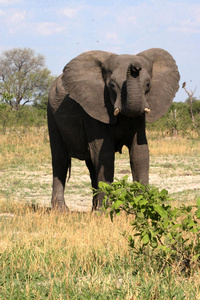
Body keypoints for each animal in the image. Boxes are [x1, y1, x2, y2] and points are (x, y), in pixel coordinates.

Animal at [47, 48, 180, 211]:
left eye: (148, 84)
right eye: (111, 85)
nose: (135, 67)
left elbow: (140, 152)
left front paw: (143, 208)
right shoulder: (93, 107)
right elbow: (105, 153)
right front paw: (104, 212)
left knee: (91, 165)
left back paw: (92, 209)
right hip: (51, 112)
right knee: (60, 160)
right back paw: (61, 210)